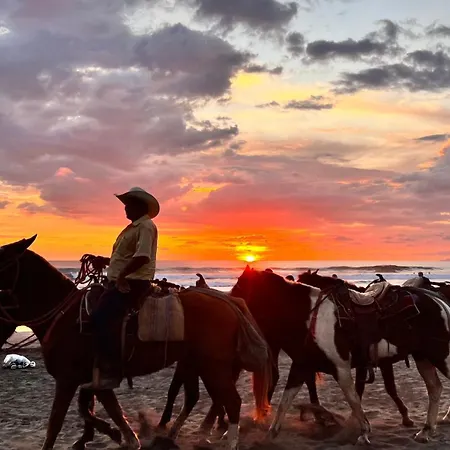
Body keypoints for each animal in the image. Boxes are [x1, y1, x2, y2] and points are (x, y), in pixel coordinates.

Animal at [0, 236, 271, 450]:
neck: (66, 316)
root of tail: (229, 303)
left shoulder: (68, 380)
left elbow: (56, 424)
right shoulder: (93, 379)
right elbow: (100, 409)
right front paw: (120, 436)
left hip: (214, 366)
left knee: (231, 402)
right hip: (197, 364)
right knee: (200, 397)